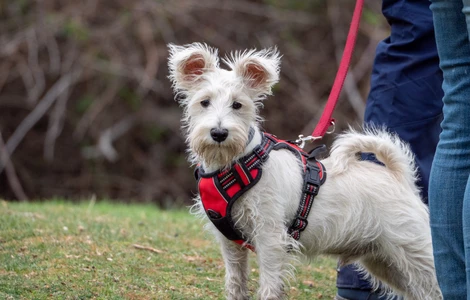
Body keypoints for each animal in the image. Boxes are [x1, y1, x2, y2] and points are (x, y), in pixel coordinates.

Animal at [167, 42, 442, 300]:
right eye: (204, 102)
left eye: (237, 105)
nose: (219, 133)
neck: (235, 163)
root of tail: (400, 177)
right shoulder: (230, 244)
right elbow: (235, 282)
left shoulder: (270, 236)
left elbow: (269, 283)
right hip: (385, 262)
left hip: (417, 253)